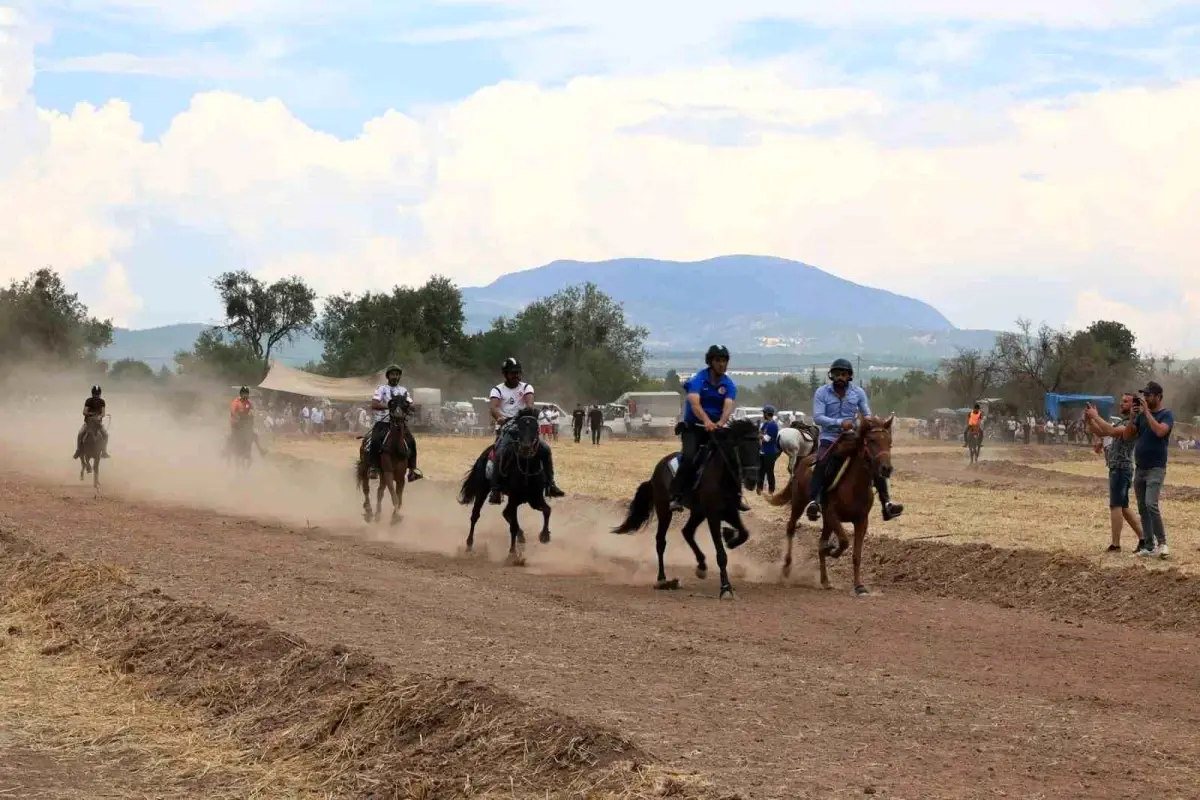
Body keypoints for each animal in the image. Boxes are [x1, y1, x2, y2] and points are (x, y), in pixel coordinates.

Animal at [352, 395, 410, 525]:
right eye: (391, 404)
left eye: (405, 404)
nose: (398, 418)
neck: (395, 448)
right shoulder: (388, 473)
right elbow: (394, 496)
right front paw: (396, 516)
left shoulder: (400, 476)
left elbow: (399, 497)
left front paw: (395, 515)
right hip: (365, 468)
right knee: (366, 489)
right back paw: (369, 511)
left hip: (382, 475)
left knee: (379, 492)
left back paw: (377, 515)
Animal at [458, 410, 552, 566]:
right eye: (519, 428)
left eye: (536, 428)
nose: (525, 448)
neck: (527, 468)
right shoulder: (514, 498)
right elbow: (512, 525)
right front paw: (512, 554)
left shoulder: (535, 498)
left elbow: (547, 510)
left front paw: (544, 536)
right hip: (483, 490)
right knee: (475, 515)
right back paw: (469, 545)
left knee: (506, 513)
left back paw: (522, 537)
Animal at [614, 419, 753, 599]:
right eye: (741, 448)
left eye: (760, 446)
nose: (752, 479)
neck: (722, 475)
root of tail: (656, 472)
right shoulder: (713, 515)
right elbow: (721, 554)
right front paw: (725, 588)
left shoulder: (730, 511)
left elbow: (744, 533)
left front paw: (730, 537)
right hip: (664, 510)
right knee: (661, 541)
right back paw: (662, 579)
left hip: (698, 512)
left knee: (687, 531)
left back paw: (701, 566)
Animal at [763, 417, 897, 597]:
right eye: (871, 440)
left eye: (889, 442)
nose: (886, 468)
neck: (855, 486)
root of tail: (804, 461)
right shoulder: (832, 514)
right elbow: (844, 542)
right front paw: (832, 551)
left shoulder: (861, 521)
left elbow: (856, 554)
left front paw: (858, 586)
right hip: (799, 503)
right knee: (791, 528)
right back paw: (786, 567)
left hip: (826, 521)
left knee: (820, 543)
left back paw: (825, 580)